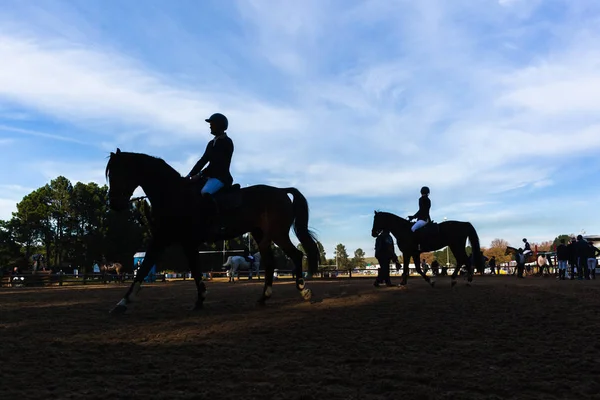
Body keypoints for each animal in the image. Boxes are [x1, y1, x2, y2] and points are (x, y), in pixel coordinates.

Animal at [105, 148, 322, 314]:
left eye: (117, 174)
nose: (114, 204)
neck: (174, 195)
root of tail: (281, 191)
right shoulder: (177, 241)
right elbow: (192, 270)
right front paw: (200, 299)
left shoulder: (167, 239)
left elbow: (145, 268)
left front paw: (122, 303)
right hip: (261, 235)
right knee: (270, 264)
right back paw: (263, 298)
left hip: (278, 234)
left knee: (296, 255)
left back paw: (304, 291)